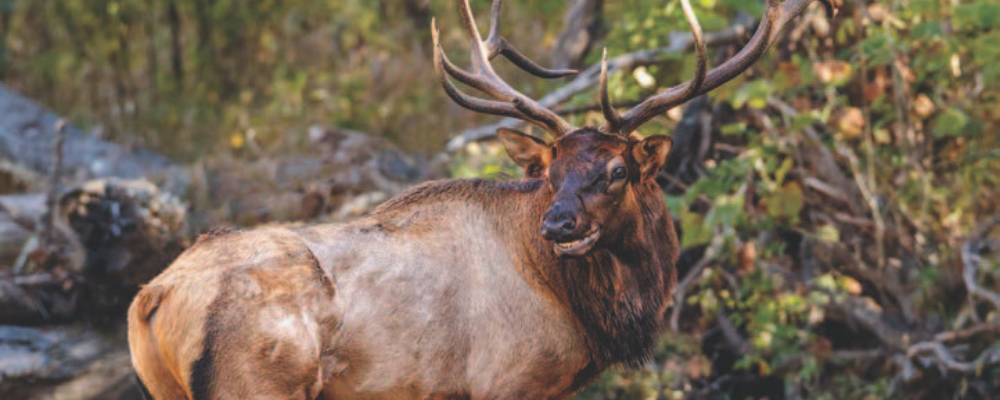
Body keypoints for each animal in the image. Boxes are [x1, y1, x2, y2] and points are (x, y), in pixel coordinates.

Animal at [131, 0, 836, 398]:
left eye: (616, 170)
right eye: (550, 171)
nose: (558, 224)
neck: (584, 318)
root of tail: (154, 296)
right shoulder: (508, 382)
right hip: (256, 384)